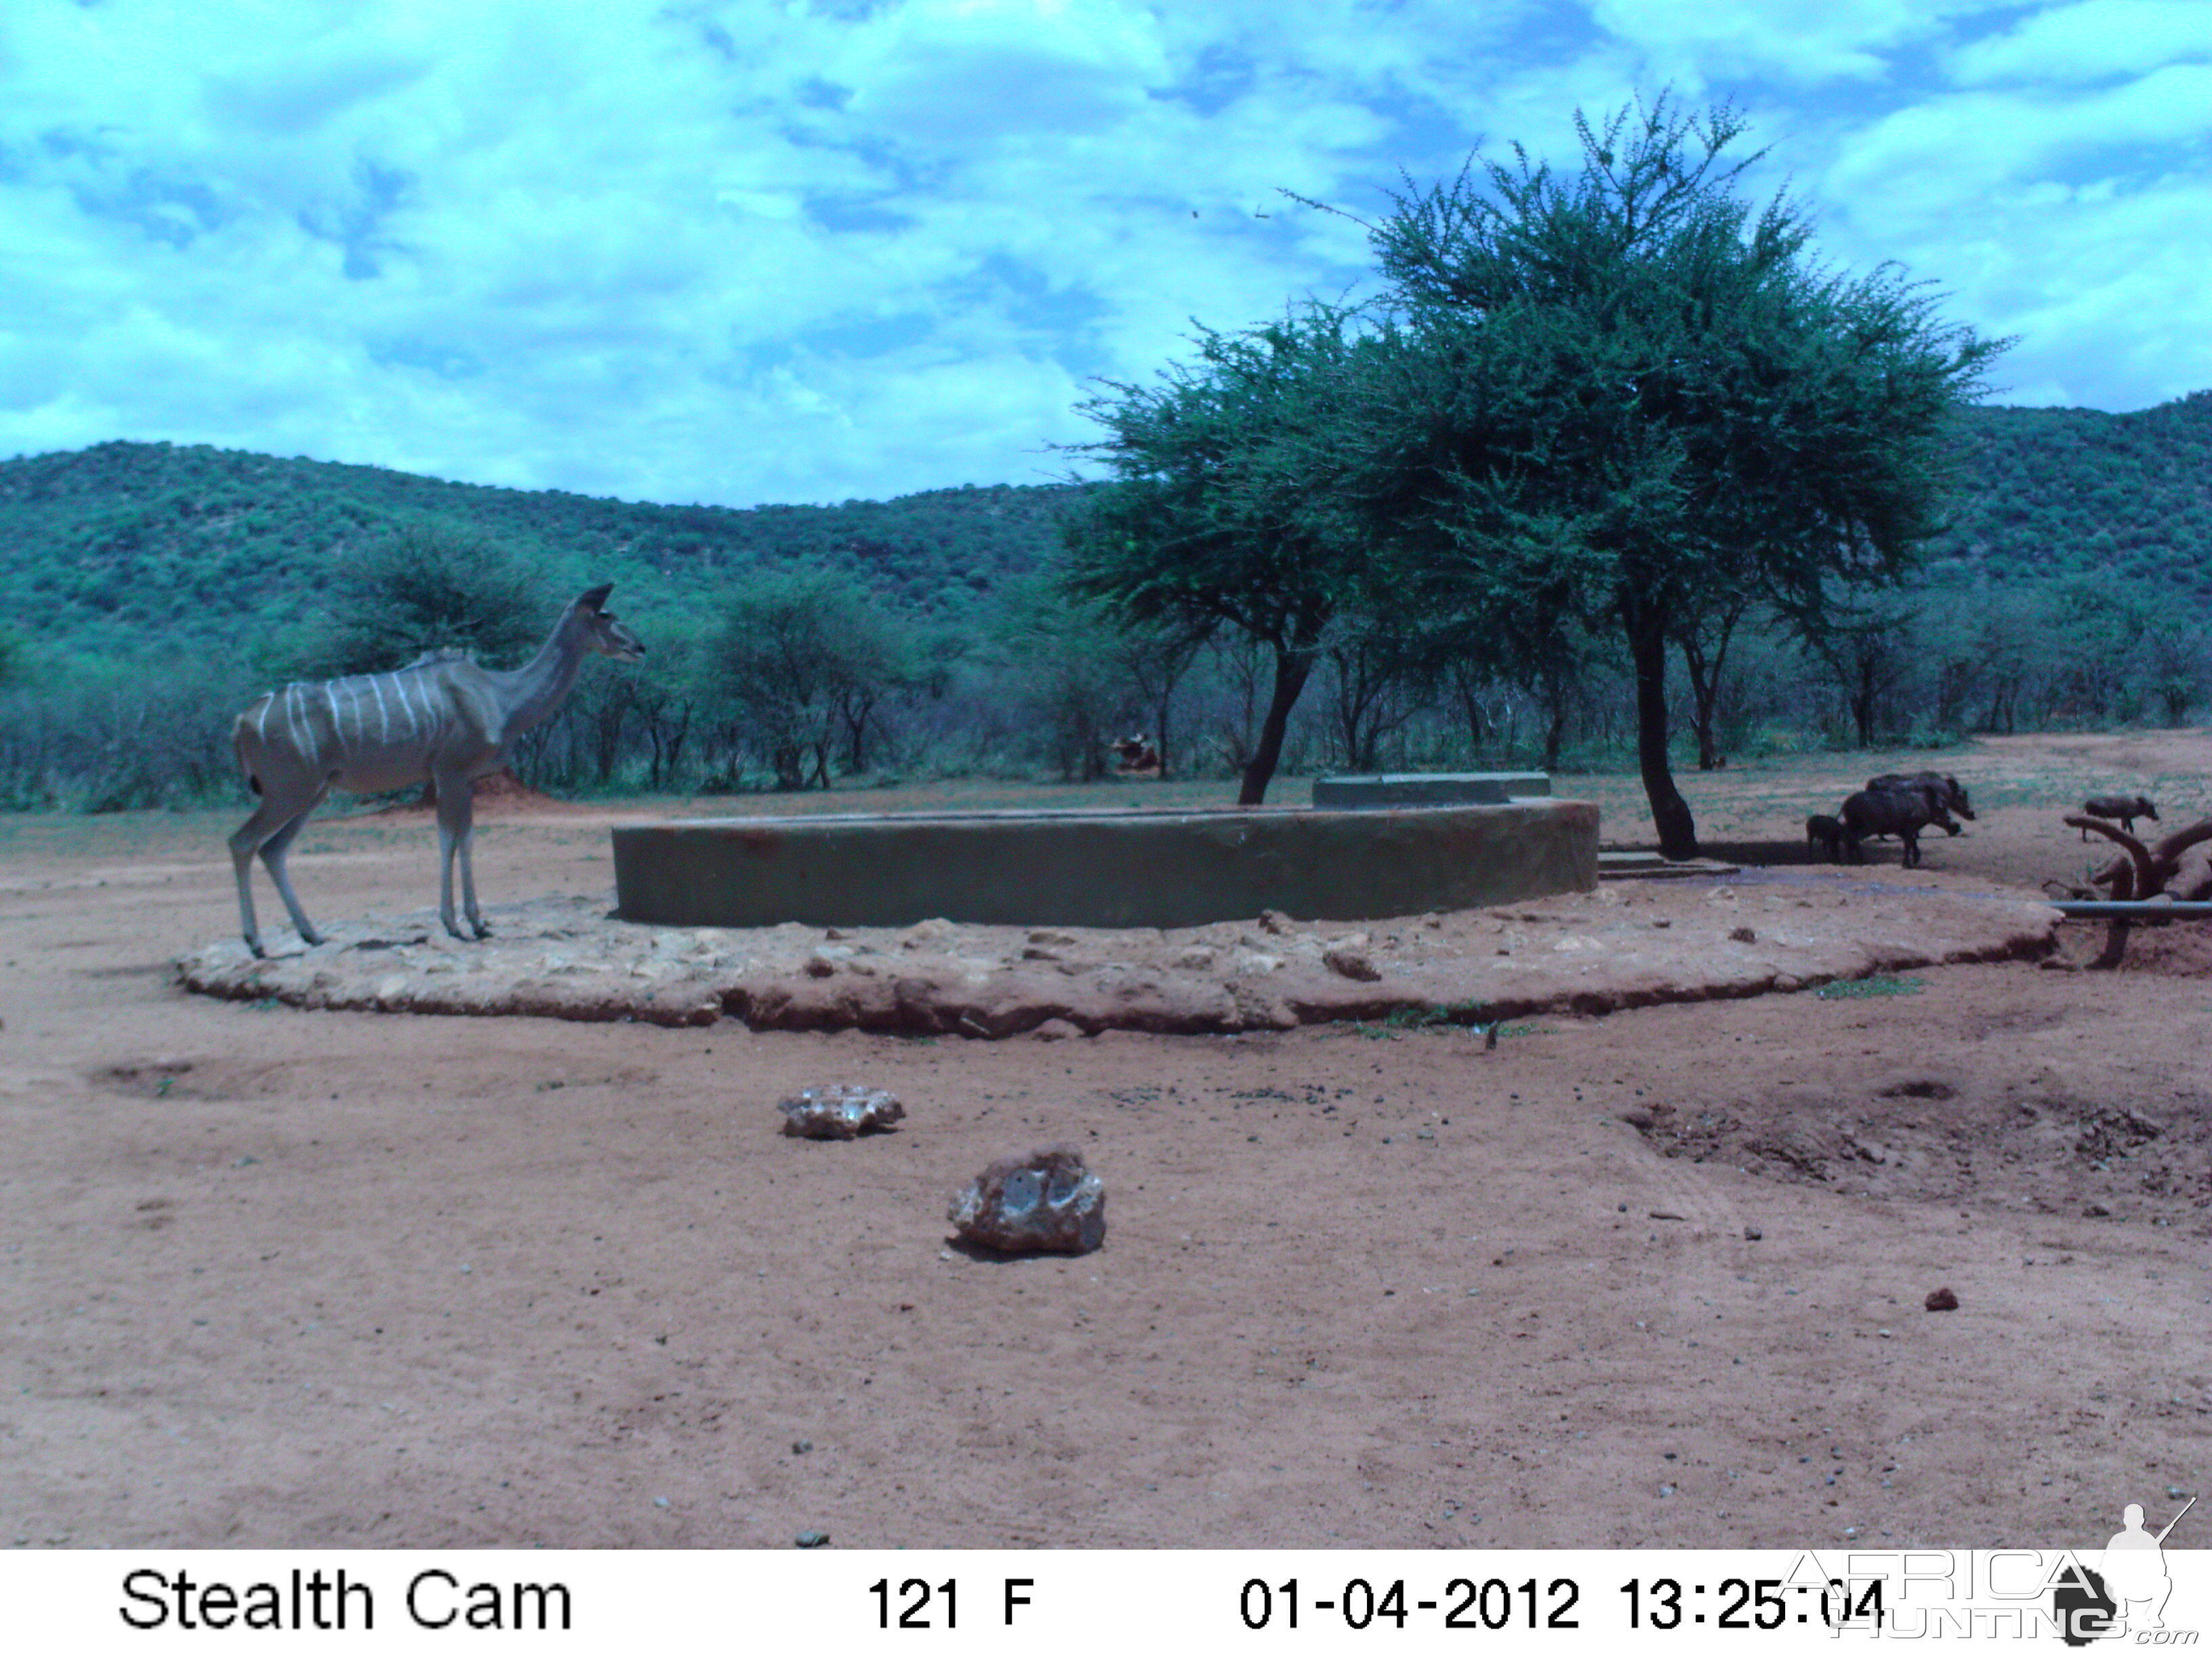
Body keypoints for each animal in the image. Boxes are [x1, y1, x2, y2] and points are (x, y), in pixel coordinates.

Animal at [233, 583, 646, 956]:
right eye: (605, 614)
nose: (639, 647)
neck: (501, 695)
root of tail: (243, 720)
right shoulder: (449, 774)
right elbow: (450, 838)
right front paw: (455, 924)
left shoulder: (465, 780)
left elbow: (466, 838)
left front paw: (478, 923)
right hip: (290, 791)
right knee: (243, 841)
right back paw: (256, 943)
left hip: (313, 793)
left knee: (272, 850)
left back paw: (312, 935)